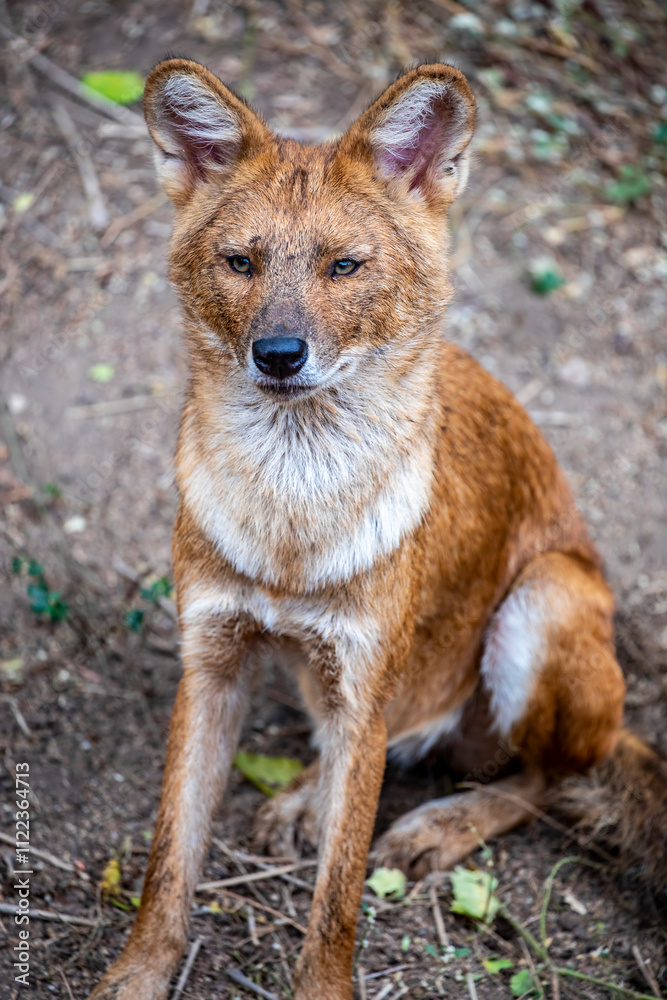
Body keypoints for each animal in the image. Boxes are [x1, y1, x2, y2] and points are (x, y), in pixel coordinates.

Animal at [88, 59, 667, 1000]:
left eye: (343, 266)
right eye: (240, 262)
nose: (277, 353)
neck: (291, 515)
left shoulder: (364, 682)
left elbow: (338, 895)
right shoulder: (210, 665)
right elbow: (168, 859)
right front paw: (136, 975)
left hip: (544, 598)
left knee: (548, 775)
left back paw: (438, 824)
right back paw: (303, 797)